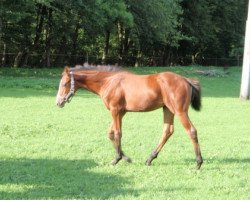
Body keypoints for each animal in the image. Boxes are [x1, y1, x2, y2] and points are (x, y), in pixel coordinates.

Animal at [55, 64, 203, 169]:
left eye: (64, 84)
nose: (58, 102)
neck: (108, 82)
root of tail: (186, 80)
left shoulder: (115, 110)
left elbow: (117, 133)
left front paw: (116, 159)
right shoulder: (121, 112)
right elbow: (110, 133)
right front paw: (126, 158)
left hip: (180, 111)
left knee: (191, 131)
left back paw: (198, 163)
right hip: (167, 109)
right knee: (168, 131)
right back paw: (150, 159)